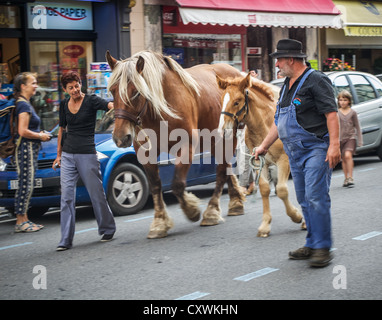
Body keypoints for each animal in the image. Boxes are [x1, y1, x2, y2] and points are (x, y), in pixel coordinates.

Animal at [106, 50, 246, 238]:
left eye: (136, 92)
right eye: (112, 91)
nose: (121, 137)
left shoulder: (187, 146)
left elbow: (178, 184)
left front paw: (191, 210)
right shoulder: (145, 152)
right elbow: (155, 185)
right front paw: (159, 222)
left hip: (229, 137)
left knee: (222, 172)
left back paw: (212, 211)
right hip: (215, 141)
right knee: (225, 168)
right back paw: (235, 201)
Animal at [218, 74, 304, 236]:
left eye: (237, 102)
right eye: (221, 101)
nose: (223, 131)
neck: (265, 127)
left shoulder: (284, 160)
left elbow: (282, 190)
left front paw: (297, 216)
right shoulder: (259, 161)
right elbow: (264, 189)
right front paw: (265, 225)